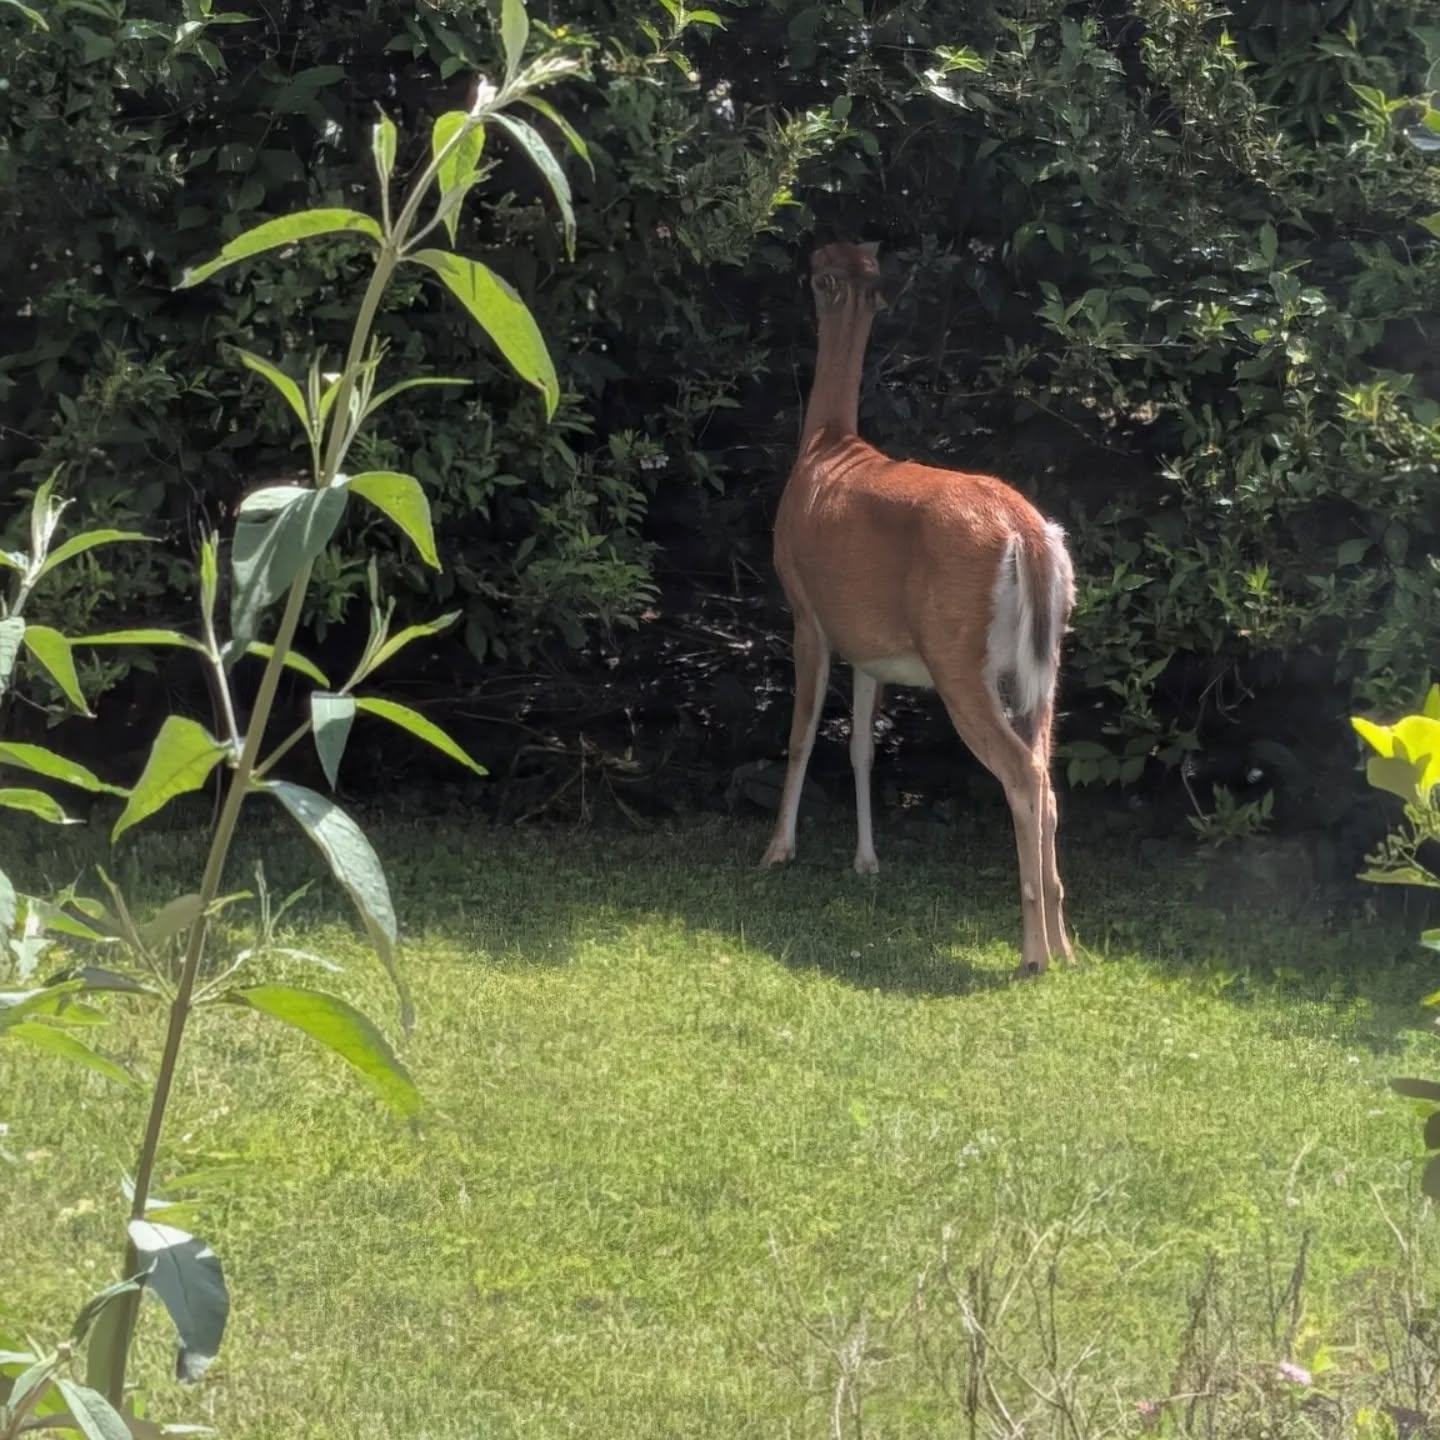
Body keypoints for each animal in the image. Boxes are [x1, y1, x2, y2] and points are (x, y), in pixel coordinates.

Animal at [760, 240, 1077, 975]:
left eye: (817, 271)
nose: (804, 260)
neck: (826, 444)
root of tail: (1028, 533)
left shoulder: (808, 613)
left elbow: (801, 735)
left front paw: (777, 850)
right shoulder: (872, 650)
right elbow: (861, 749)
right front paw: (866, 860)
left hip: (958, 654)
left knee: (1023, 776)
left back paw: (1034, 952)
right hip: (1042, 667)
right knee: (1049, 779)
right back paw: (1066, 944)